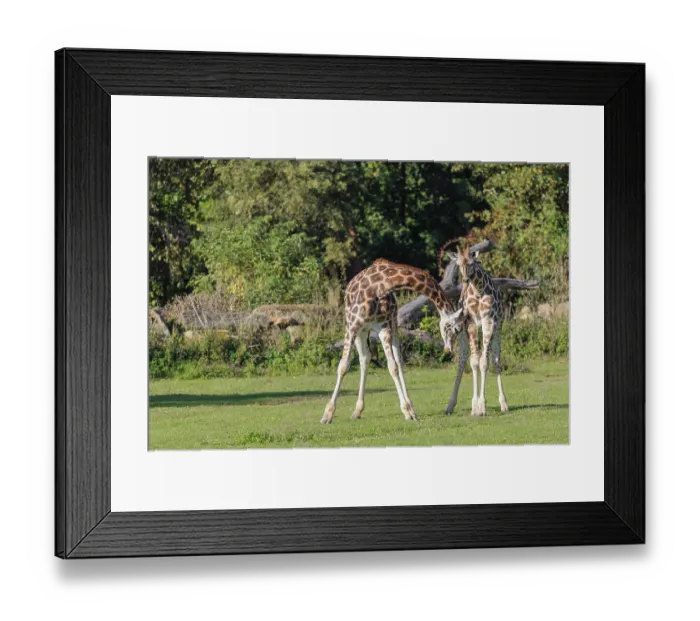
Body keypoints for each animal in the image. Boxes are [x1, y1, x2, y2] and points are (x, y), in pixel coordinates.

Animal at [321, 258, 464, 424]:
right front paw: (327, 414)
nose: (449, 350)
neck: (378, 287)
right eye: (456, 328)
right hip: (361, 330)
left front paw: (407, 411)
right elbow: (343, 366)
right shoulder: (352, 326)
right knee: (365, 358)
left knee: (397, 361)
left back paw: (408, 406)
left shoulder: (384, 328)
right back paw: (357, 410)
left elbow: (393, 366)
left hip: (393, 325)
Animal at [444, 245, 509, 417]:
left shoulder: (489, 322)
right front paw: (475, 407)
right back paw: (450, 405)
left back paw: (504, 404)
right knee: (462, 361)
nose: (466, 281)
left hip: (498, 329)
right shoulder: (471, 323)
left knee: (496, 361)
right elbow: (474, 362)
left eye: (471, 263)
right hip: (462, 333)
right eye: (458, 264)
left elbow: (484, 363)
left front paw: (482, 405)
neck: (479, 290)